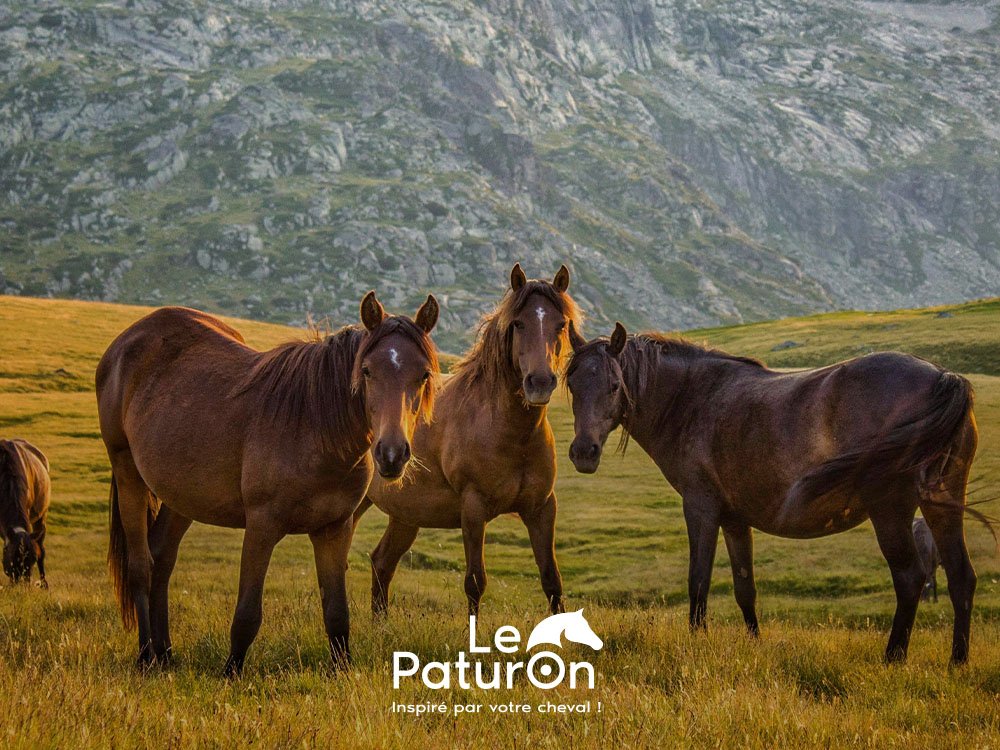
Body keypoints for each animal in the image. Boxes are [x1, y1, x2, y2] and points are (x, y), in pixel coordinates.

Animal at [0, 439, 51, 587]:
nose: (22, 585)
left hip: (42, 516)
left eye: (32, 559)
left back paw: (44, 584)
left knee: (42, 548)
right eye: (12, 558)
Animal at [96, 292, 440, 674]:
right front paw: (231, 672)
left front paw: (342, 669)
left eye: (423, 374)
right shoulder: (261, 526)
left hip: (181, 495)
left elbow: (336, 613)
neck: (313, 425)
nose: (392, 454)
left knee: (162, 559)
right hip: (127, 470)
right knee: (141, 566)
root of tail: (127, 340)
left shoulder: (334, 529)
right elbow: (247, 613)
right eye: (366, 371)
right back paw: (146, 656)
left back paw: (165, 652)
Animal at [354, 264, 581, 616]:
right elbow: (475, 582)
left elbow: (552, 582)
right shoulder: (473, 509)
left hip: (405, 516)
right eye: (518, 323)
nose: (540, 382)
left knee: (381, 562)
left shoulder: (542, 508)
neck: (509, 433)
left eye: (561, 325)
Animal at [565, 322, 981, 664]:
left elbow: (698, 581)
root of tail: (942, 377)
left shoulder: (700, 508)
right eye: (571, 385)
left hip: (890, 510)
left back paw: (894, 657)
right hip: (941, 505)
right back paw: (957, 662)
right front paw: (755, 643)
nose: (584, 452)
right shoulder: (735, 520)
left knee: (910, 577)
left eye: (614, 386)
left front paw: (697, 641)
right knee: (962, 577)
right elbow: (744, 587)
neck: (693, 400)